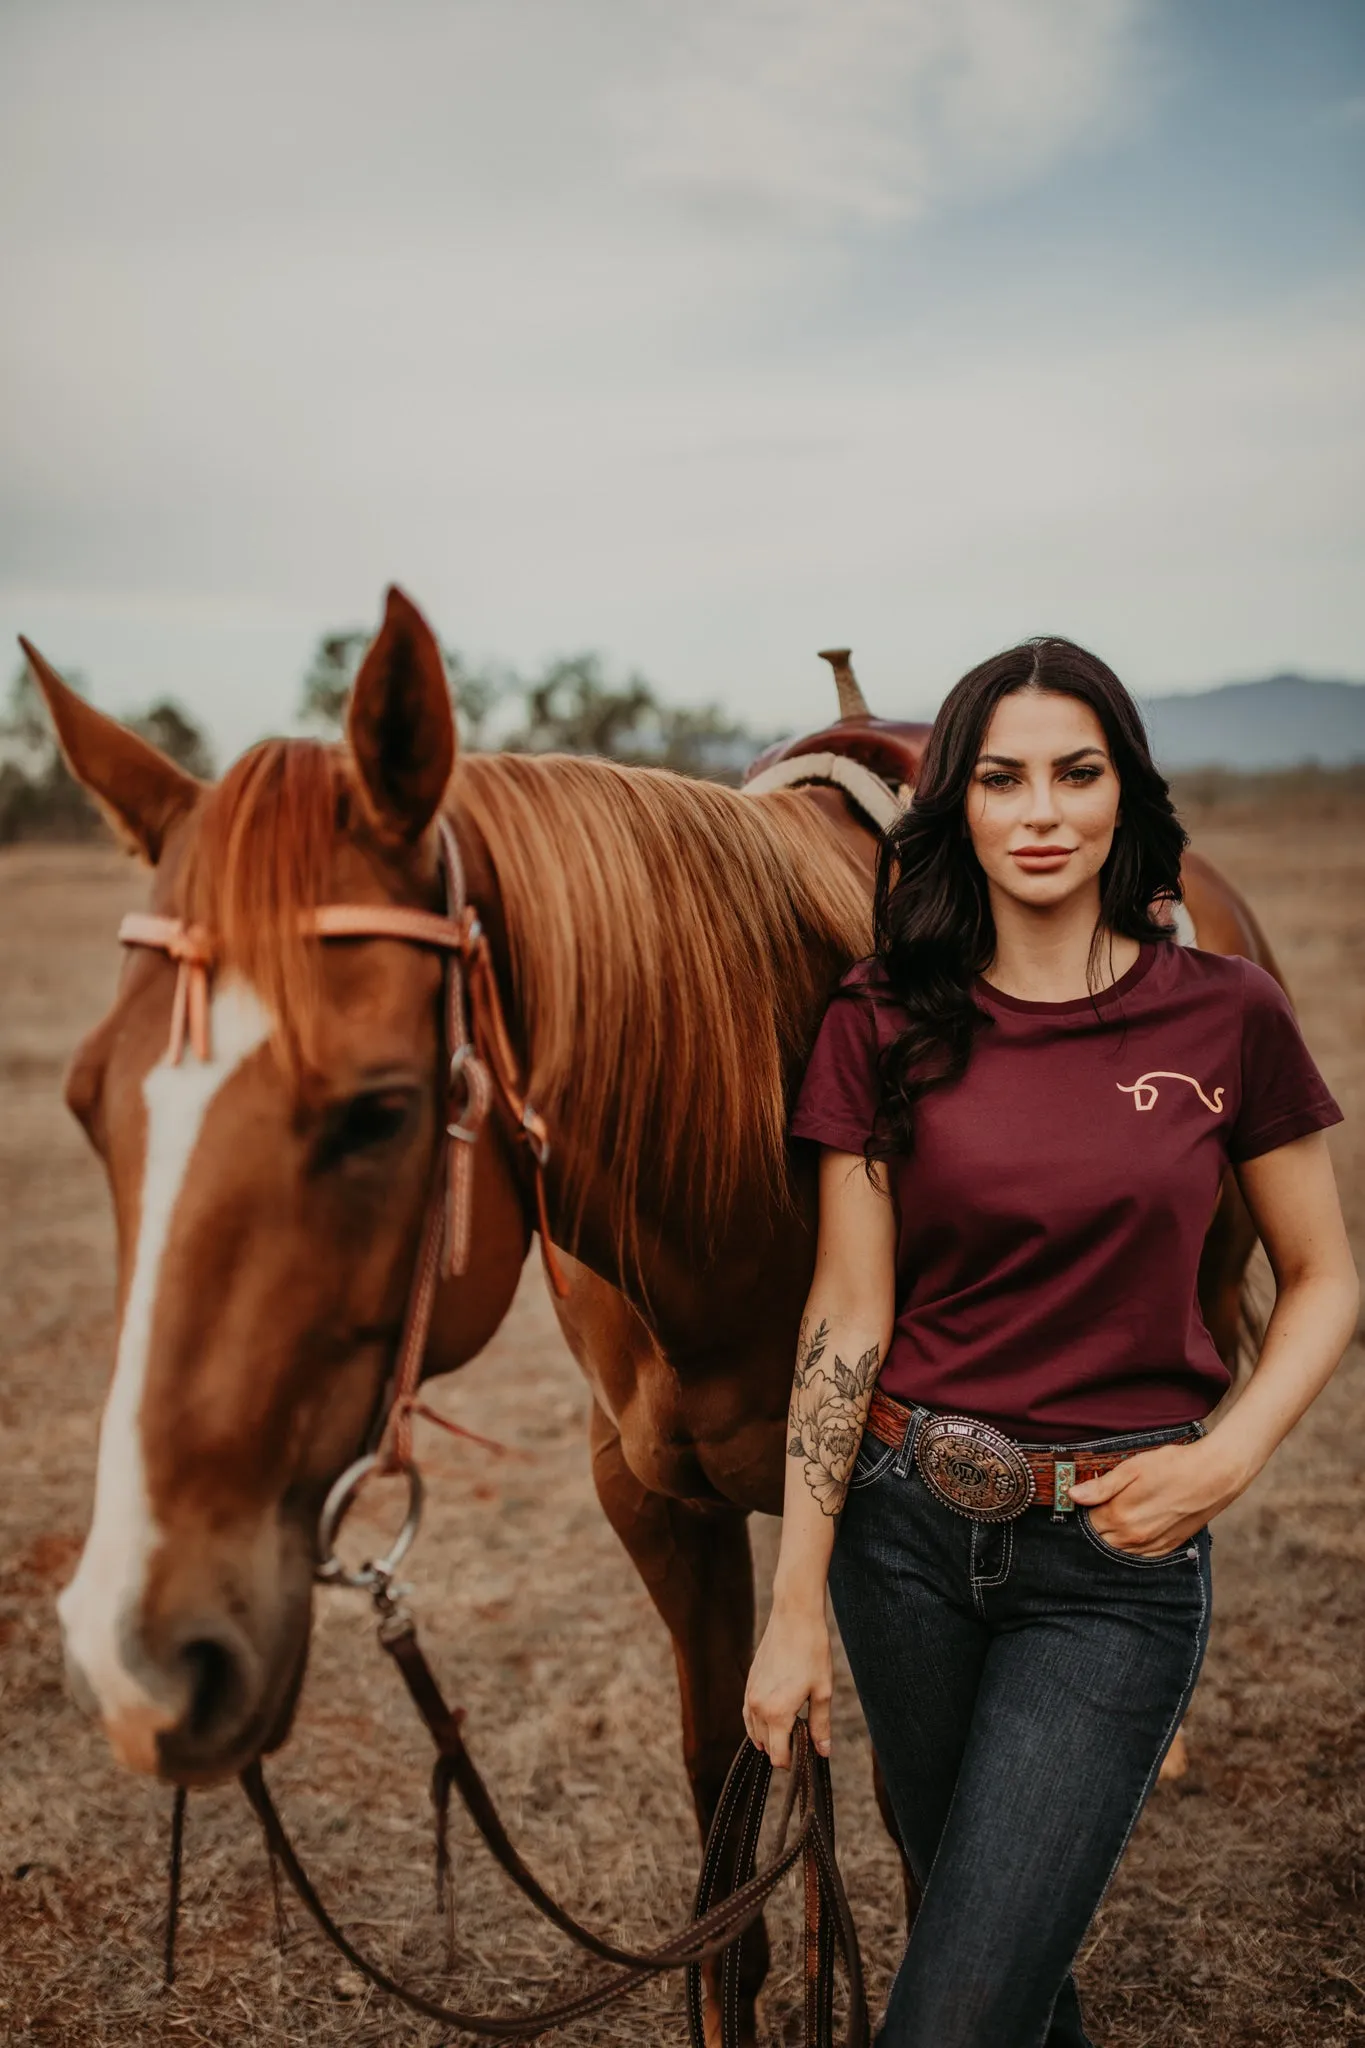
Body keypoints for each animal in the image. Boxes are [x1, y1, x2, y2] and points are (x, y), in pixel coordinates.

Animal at [29, 589, 1285, 2031]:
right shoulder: (657, 1503)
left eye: (379, 1112)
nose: (133, 1655)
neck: (741, 1149)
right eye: (87, 1103)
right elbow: (724, 1841)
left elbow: (914, 1823)